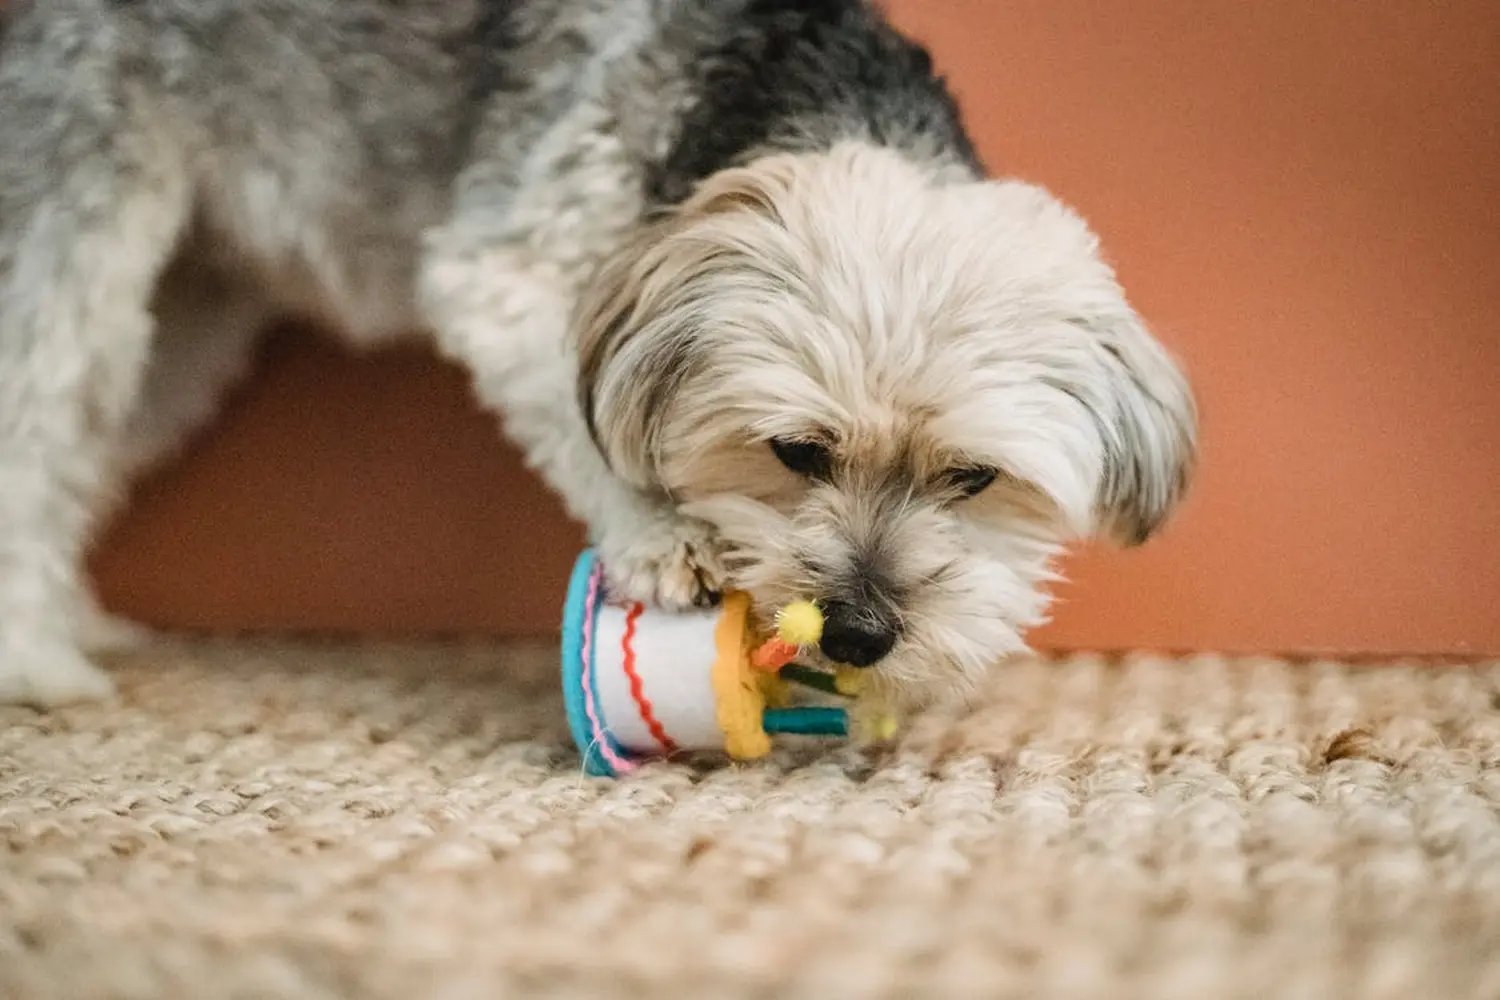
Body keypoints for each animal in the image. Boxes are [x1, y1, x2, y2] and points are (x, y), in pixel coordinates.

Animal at [0, 0, 1194, 704]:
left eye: (975, 477)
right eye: (796, 452)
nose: (859, 631)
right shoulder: (512, 276)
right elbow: (594, 429)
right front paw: (665, 537)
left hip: (188, 317)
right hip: (73, 220)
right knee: (34, 421)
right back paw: (39, 665)